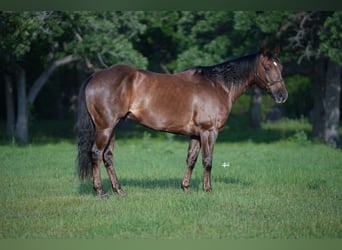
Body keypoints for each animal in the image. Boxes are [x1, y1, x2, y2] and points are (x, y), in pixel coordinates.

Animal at [76, 45, 288, 197]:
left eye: (281, 67)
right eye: (267, 67)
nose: (282, 96)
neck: (217, 85)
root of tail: (95, 75)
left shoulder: (195, 134)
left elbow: (191, 160)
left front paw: (186, 187)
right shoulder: (209, 131)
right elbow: (208, 160)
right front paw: (208, 189)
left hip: (113, 127)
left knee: (108, 156)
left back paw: (119, 190)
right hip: (105, 127)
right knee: (96, 154)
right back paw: (101, 191)